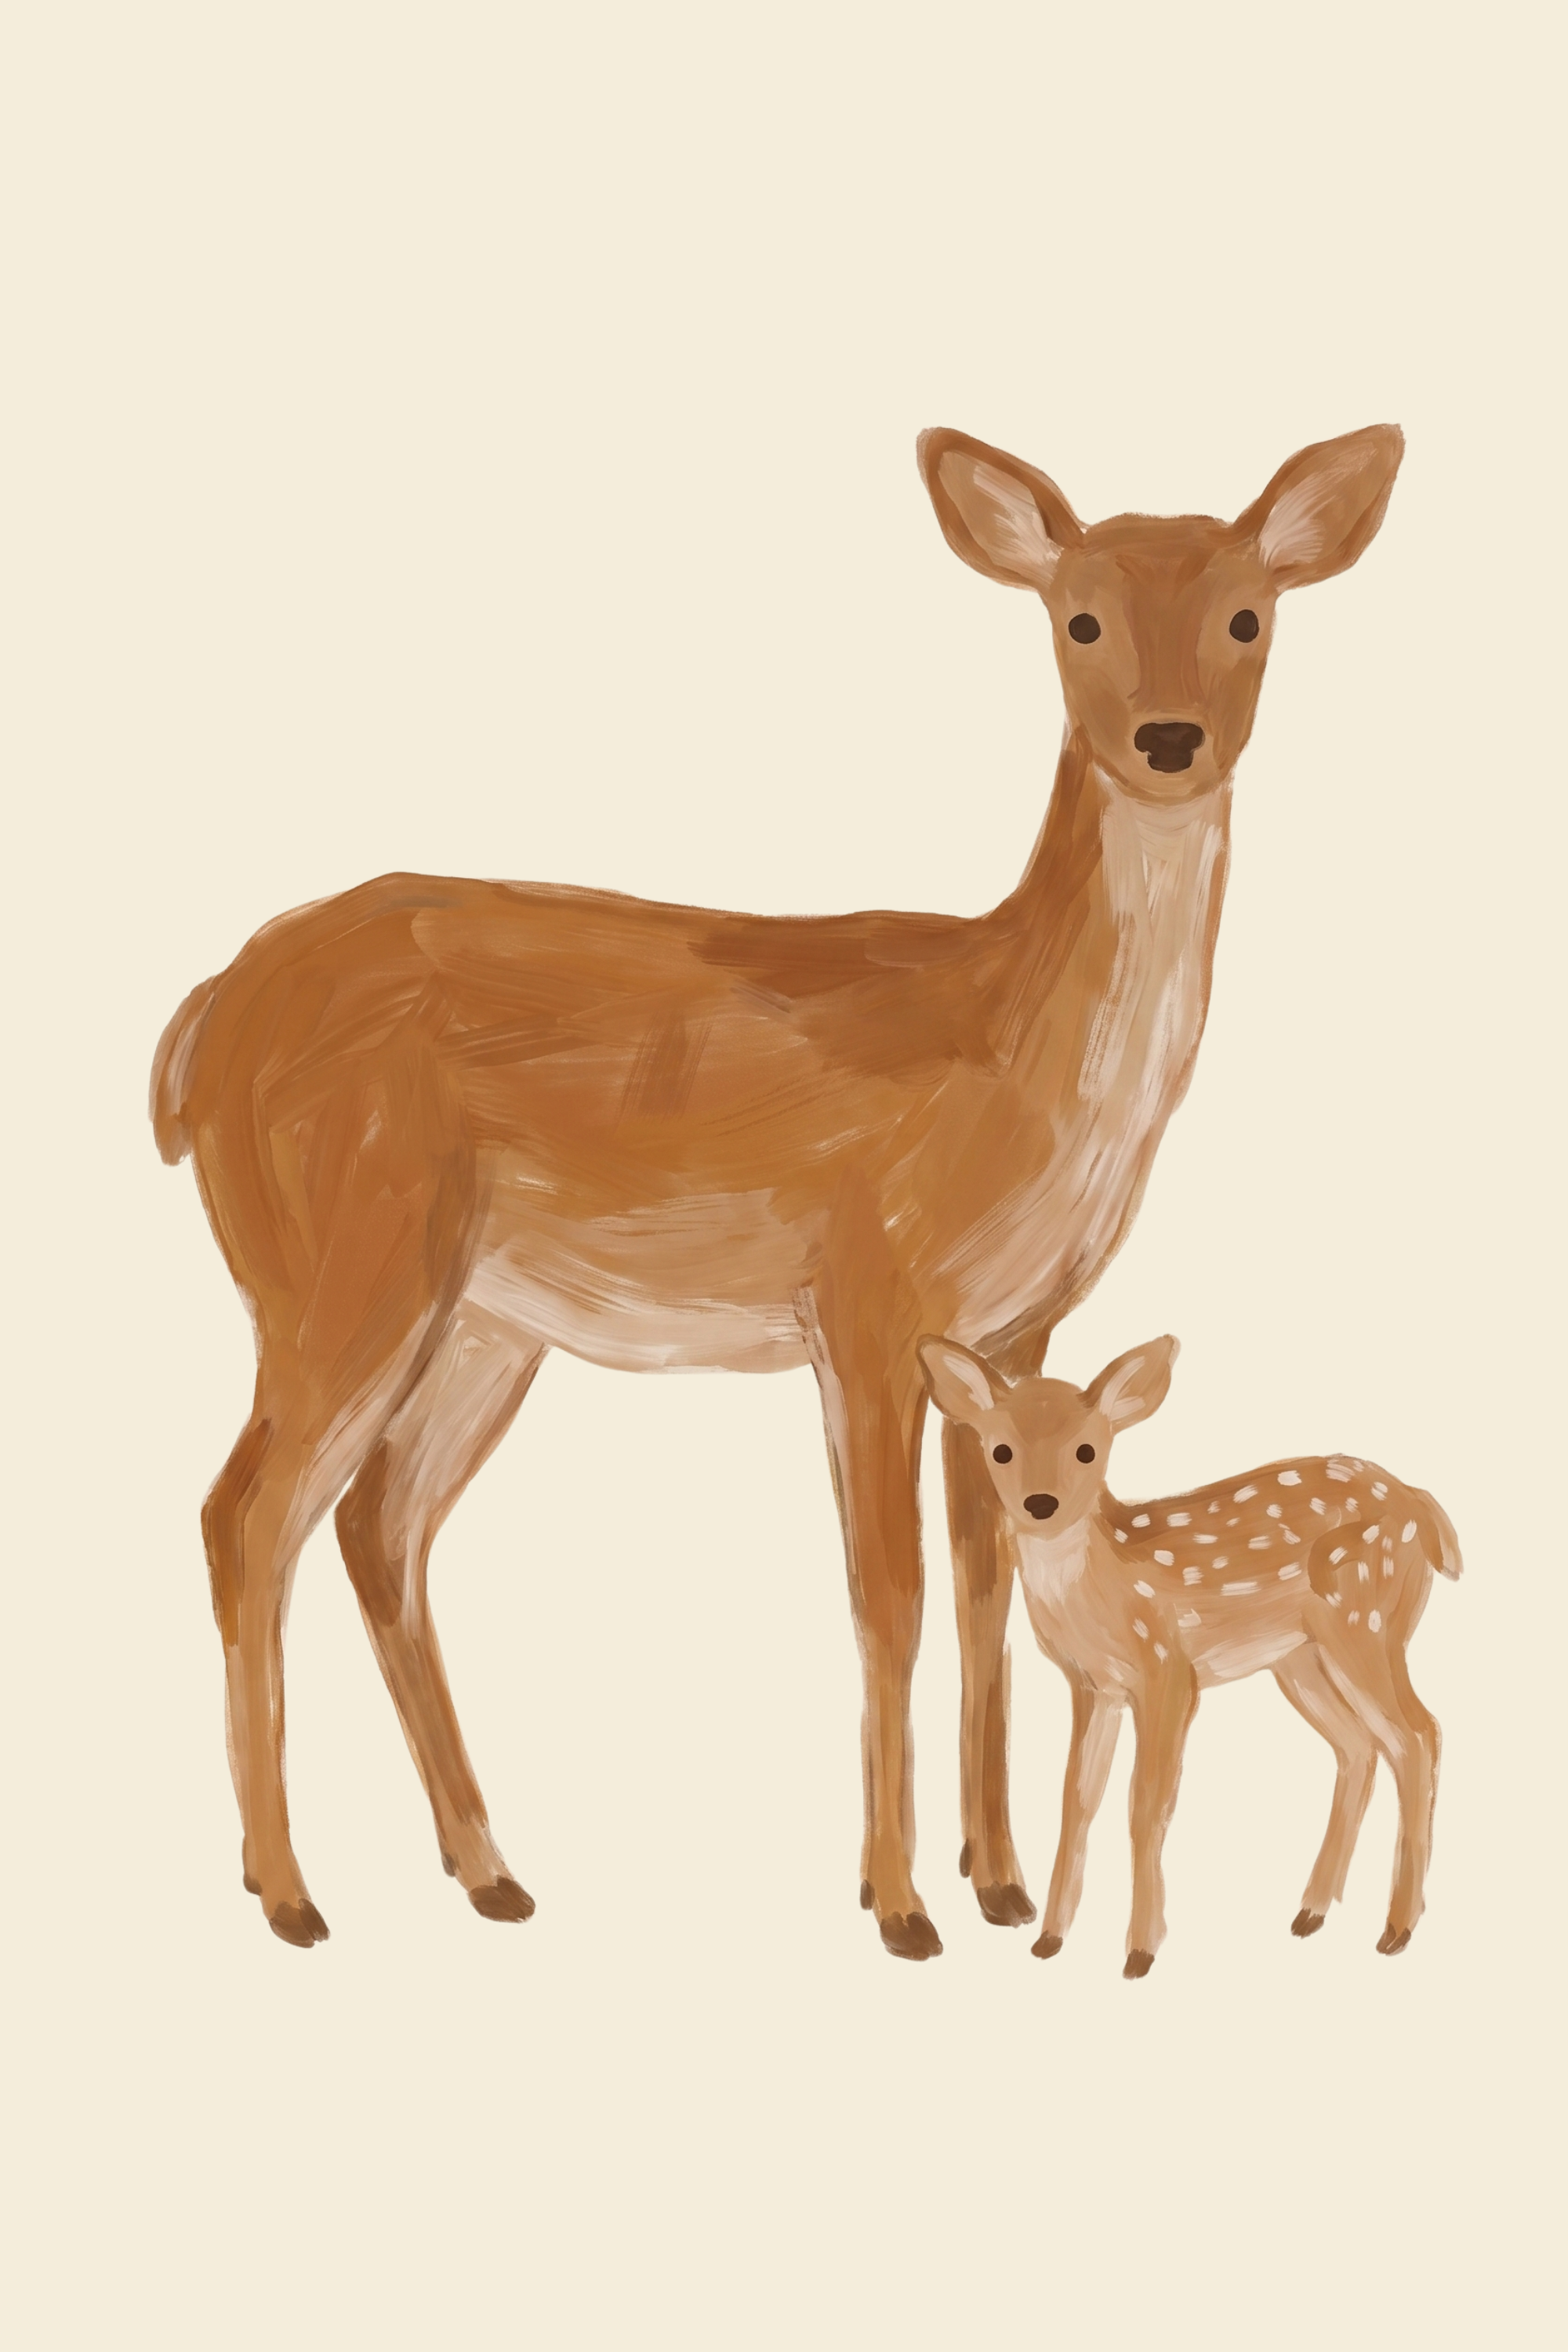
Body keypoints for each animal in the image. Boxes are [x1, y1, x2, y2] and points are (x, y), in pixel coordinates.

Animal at [150, 420, 1404, 1955]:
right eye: (1079, 617)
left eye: (1248, 615)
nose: (1169, 740)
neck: (1008, 1052)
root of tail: (201, 1030)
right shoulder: (865, 1297)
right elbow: (891, 1597)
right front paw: (901, 1906)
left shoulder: (1011, 1334)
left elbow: (984, 1590)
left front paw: (995, 1885)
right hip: (342, 1253)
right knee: (246, 1515)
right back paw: (290, 1894)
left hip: (483, 1319)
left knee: (378, 1524)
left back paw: (489, 1870)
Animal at [919, 1333, 1461, 1975]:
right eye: (1000, 1449)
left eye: (1086, 1450)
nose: (1041, 1503)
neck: (1104, 1586)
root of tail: (1423, 1507)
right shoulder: (1094, 1686)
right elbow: (1077, 1801)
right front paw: (1048, 1940)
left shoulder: (1169, 1672)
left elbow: (1146, 1806)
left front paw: (1139, 1952)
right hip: (1300, 1658)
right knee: (1359, 1747)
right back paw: (1311, 1913)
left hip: (1366, 1625)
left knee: (1418, 1734)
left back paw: (1396, 1930)